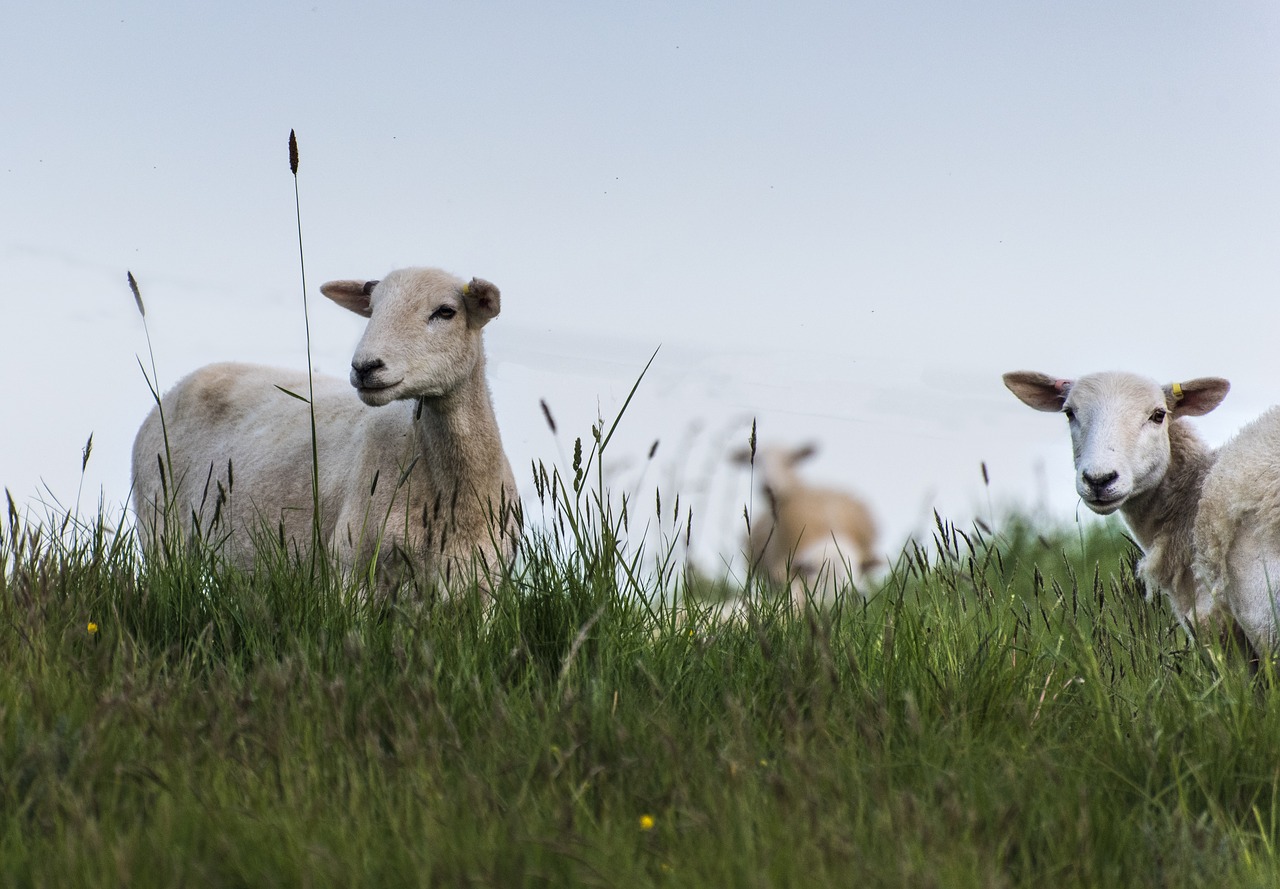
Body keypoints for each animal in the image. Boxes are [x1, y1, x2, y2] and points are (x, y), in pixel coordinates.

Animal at [133, 267, 519, 593]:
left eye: (446, 311)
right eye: (373, 310)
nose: (365, 367)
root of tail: (181, 384)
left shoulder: (484, 585)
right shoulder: (350, 568)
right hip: (159, 527)